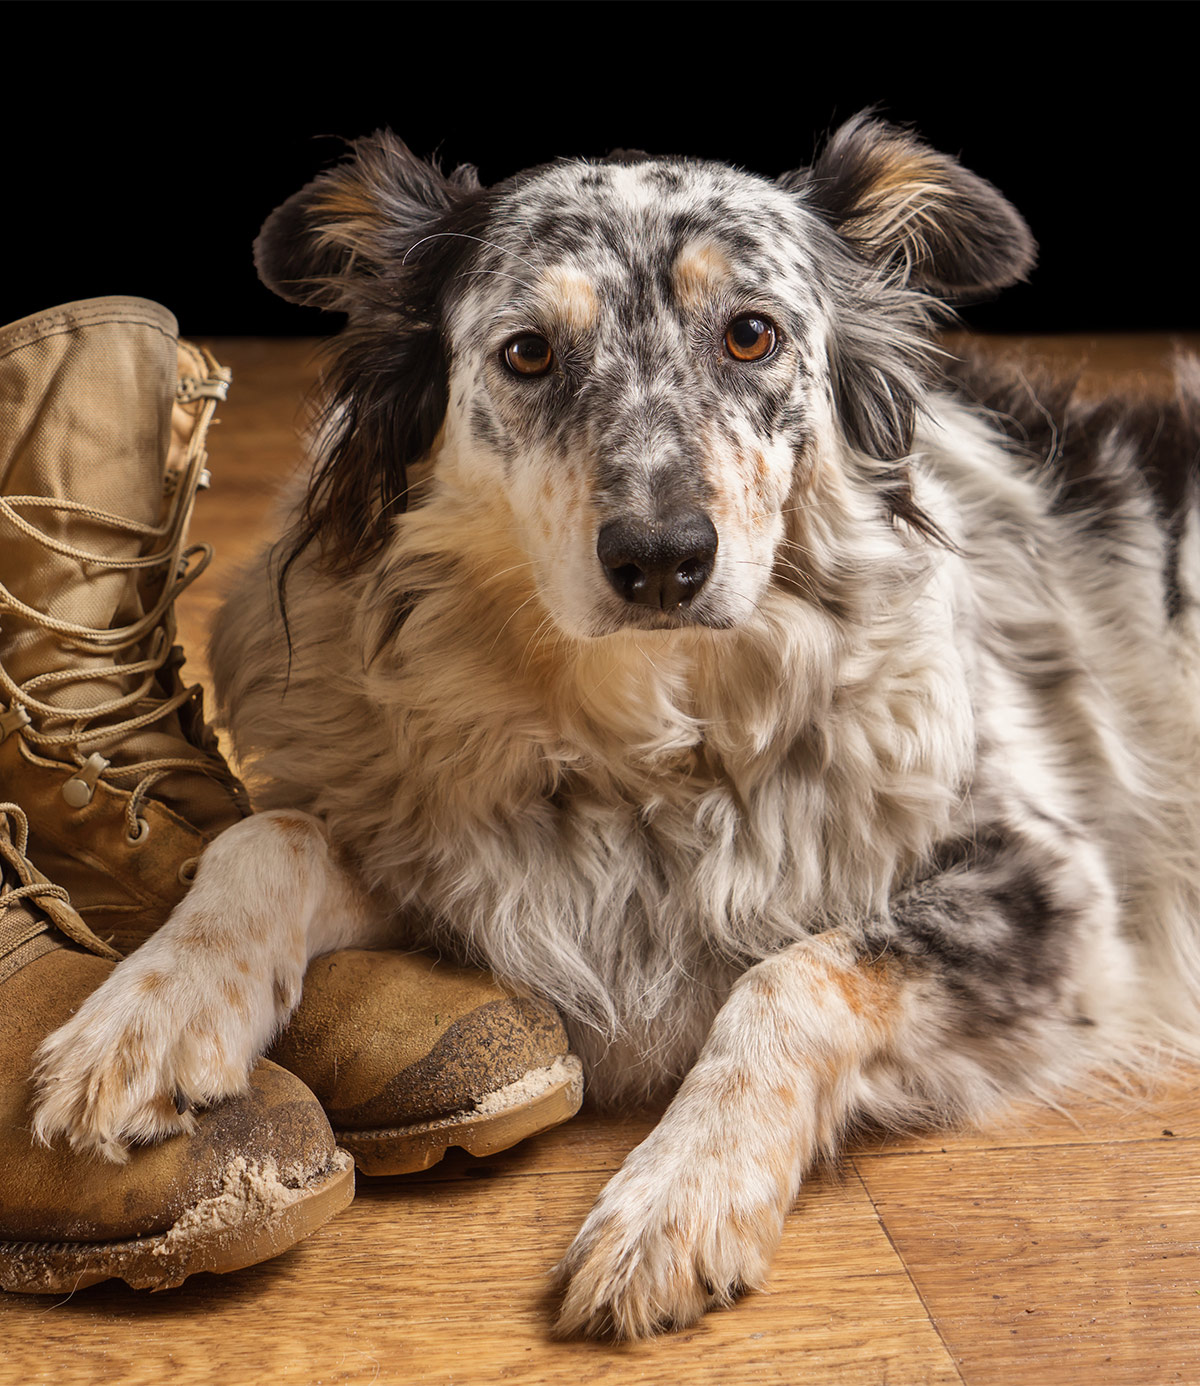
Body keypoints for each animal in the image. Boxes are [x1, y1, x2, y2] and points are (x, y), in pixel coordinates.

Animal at [30, 116, 1197, 1330]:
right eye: (528, 352)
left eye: (751, 335)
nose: (663, 559)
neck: (646, 750)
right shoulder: (470, 860)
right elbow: (270, 836)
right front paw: (147, 1017)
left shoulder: (1055, 889)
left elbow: (794, 973)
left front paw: (679, 1198)